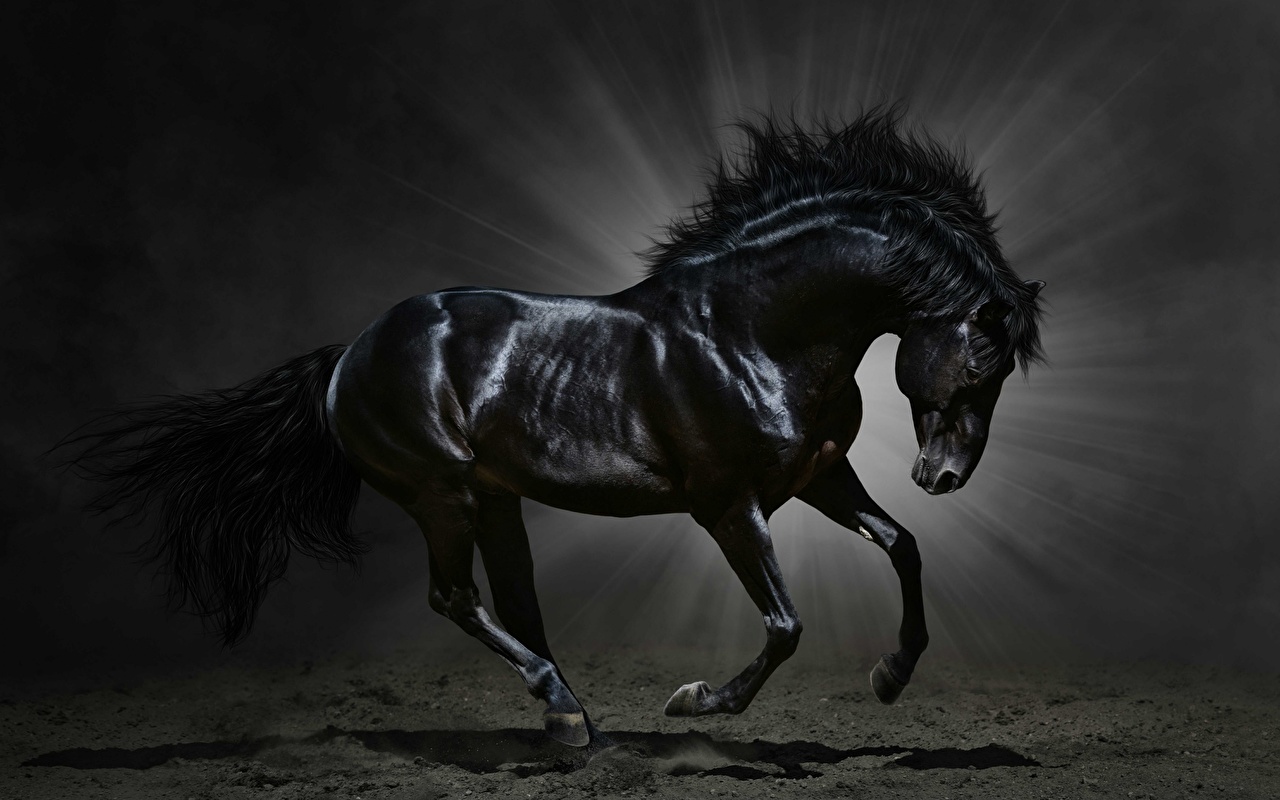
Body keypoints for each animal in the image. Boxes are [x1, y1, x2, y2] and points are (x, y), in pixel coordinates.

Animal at [66, 109, 1045, 749]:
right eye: (980, 362)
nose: (943, 476)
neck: (749, 332)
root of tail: (349, 354)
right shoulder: (729, 506)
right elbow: (784, 624)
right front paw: (694, 702)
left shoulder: (817, 477)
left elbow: (903, 546)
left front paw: (890, 676)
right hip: (441, 494)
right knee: (456, 599)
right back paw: (566, 712)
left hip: (494, 500)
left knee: (516, 604)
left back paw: (572, 719)